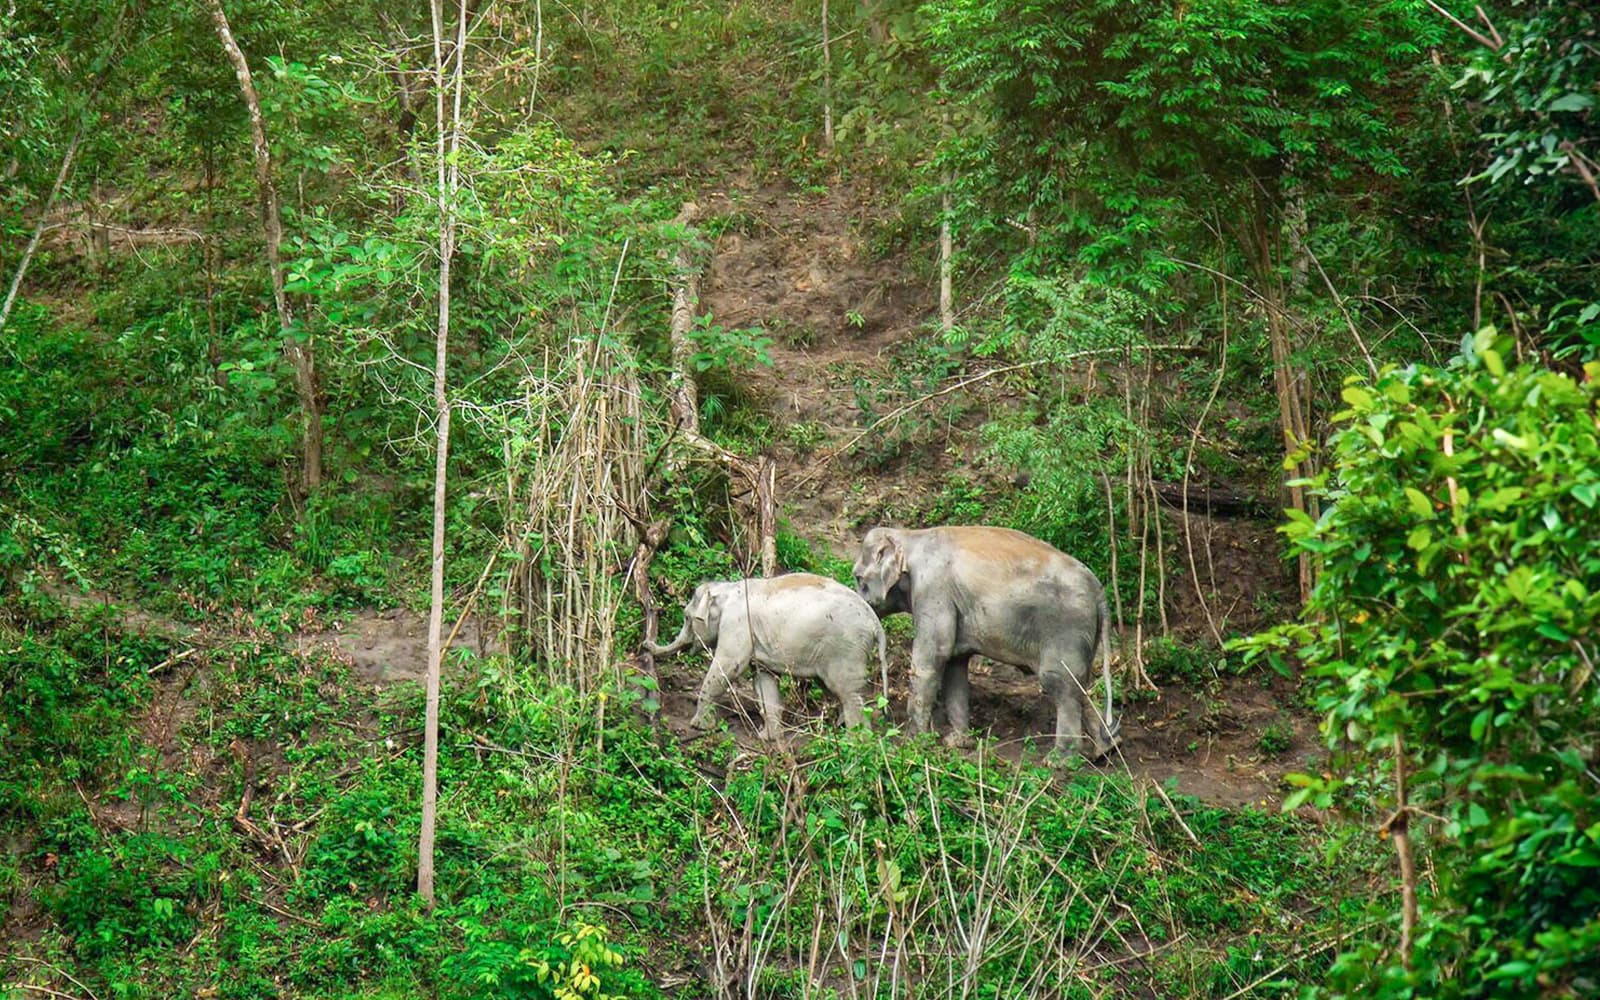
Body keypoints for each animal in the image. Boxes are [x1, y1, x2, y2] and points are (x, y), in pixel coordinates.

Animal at [644, 573, 889, 741]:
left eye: (687, 618)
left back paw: (855, 741)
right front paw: (767, 738)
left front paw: (698, 726)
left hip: (847, 649)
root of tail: (875, 623)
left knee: (848, 692)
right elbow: (765, 681)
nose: (645, 644)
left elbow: (728, 666)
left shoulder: (737, 623)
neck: (727, 589)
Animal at [851, 525, 1118, 758]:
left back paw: (1060, 760)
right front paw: (958, 742)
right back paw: (1105, 749)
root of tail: (1099, 591)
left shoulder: (933, 590)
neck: (909, 536)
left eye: (857, 578)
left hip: (1066, 626)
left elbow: (934, 656)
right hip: (1085, 633)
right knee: (1080, 682)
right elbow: (955, 666)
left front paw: (913, 742)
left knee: (1061, 682)